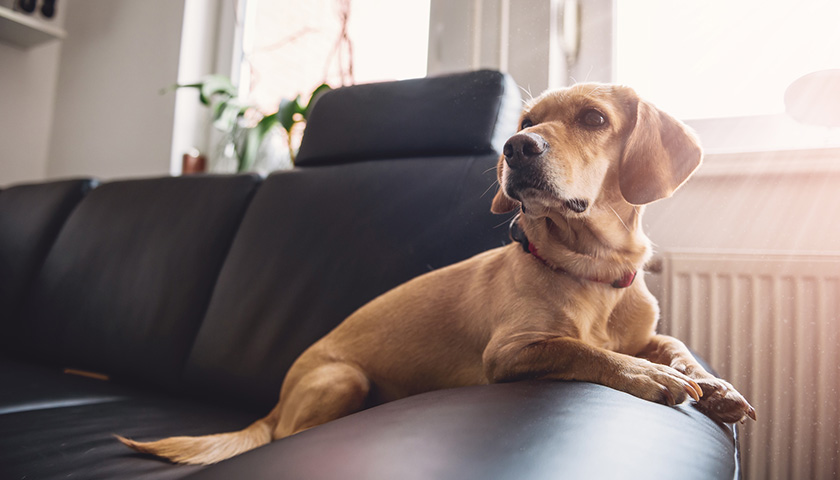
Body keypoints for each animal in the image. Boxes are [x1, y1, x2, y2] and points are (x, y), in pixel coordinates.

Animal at [116, 83, 756, 464]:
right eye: (527, 119)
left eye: (594, 118)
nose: (515, 146)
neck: (593, 273)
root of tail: (275, 399)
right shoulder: (512, 351)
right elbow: (585, 351)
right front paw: (651, 377)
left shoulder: (647, 332)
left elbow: (674, 346)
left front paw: (716, 386)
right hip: (342, 378)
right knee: (286, 436)